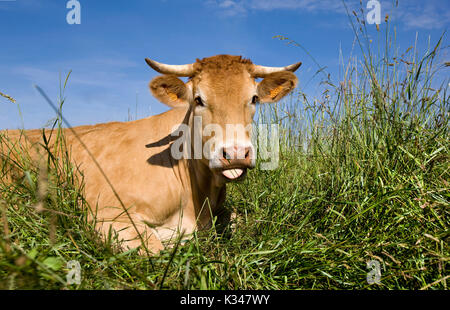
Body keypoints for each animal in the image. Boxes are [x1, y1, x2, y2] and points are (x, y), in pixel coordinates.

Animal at [1, 55, 302, 254]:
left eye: (254, 98)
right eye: (198, 99)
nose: (236, 152)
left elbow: (240, 220)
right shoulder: (105, 215)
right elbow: (154, 249)